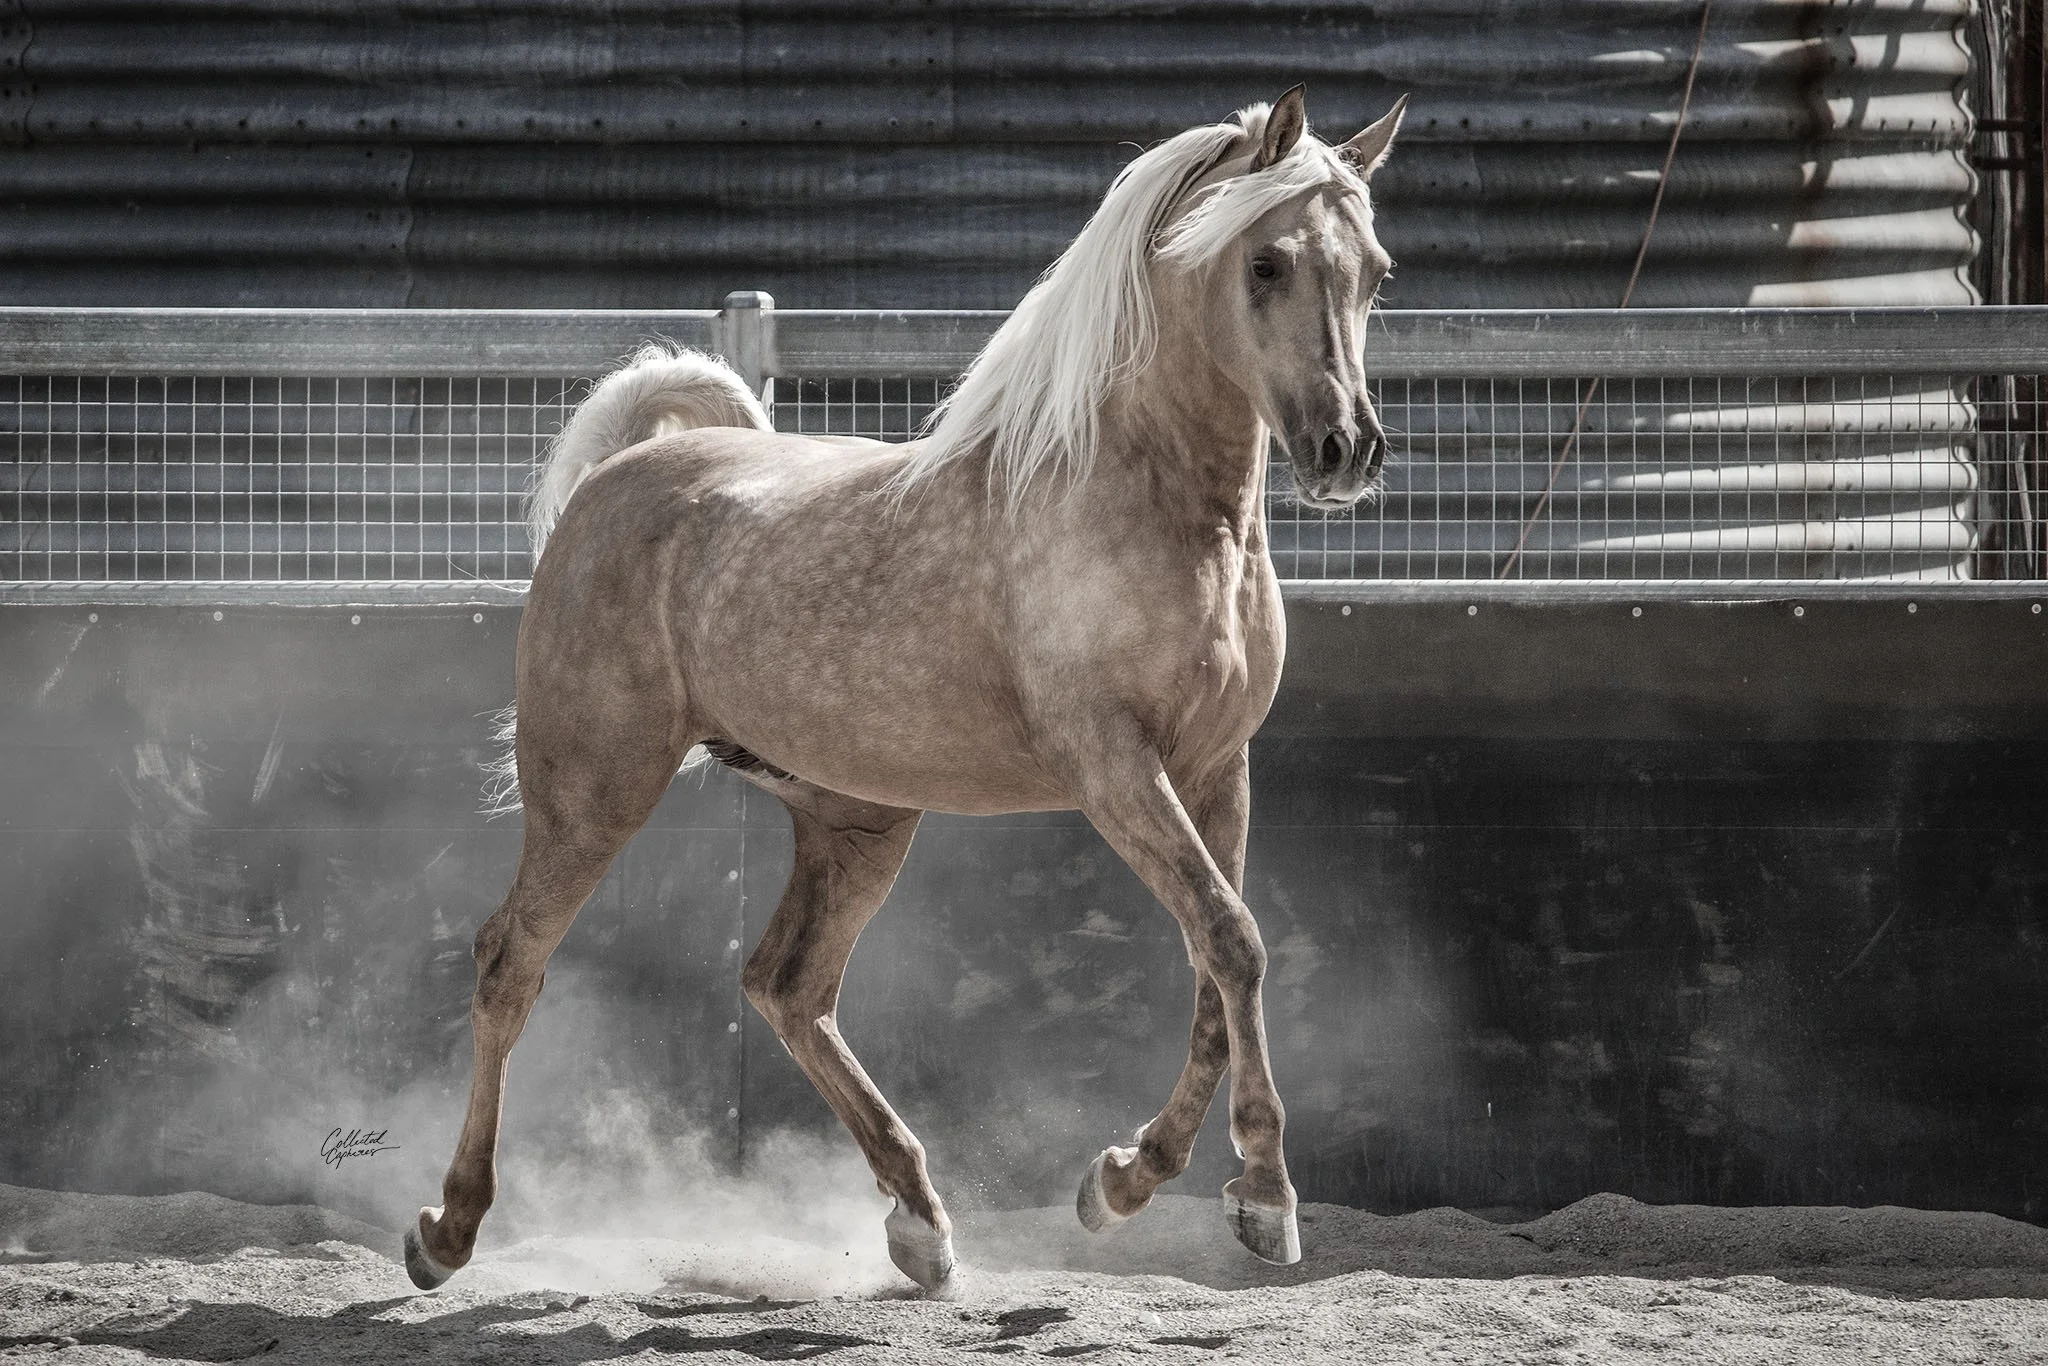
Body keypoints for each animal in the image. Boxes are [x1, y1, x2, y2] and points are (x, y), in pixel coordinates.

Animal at [405, 83, 1406, 1295]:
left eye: (1375, 271)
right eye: (1266, 262)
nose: (1347, 450)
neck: (1147, 503)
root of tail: (616, 477)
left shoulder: (1214, 769)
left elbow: (1218, 963)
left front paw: (1124, 1180)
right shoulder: (1116, 768)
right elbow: (1233, 939)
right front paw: (1261, 1197)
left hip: (858, 819)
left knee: (786, 985)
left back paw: (921, 1221)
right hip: (594, 792)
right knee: (513, 963)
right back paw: (446, 1230)